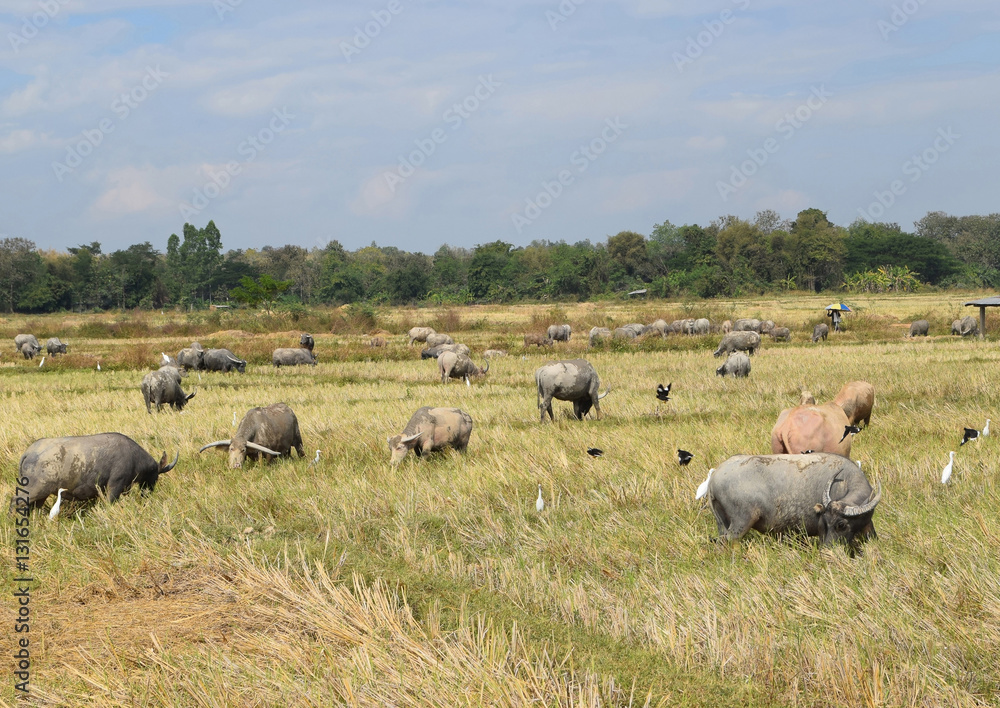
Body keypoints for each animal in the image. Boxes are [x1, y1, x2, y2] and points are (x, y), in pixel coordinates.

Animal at [15, 433, 178, 508]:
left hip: (42, 494)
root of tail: (28, 452)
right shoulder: (115, 486)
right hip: (35, 490)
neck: (134, 457)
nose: (148, 493)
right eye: (155, 476)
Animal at [707, 453, 881, 547]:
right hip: (741, 521)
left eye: (841, 525)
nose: (828, 548)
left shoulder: (867, 525)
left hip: (722, 523)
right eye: (825, 522)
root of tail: (715, 476)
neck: (844, 481)